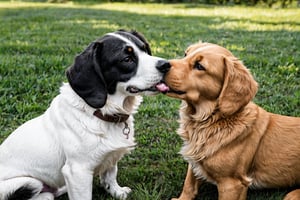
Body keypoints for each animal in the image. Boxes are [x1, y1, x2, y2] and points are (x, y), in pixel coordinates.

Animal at [0, 30, 169, 200]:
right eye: (127, 59)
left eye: (145, 49)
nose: (166, 65)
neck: (100, 113)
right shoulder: (77, 171)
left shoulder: (110, 157)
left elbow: (110, 173)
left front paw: (116, 191)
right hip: (28, 182)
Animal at [156, 42, 300, 200]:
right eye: (185, 54)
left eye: (199, 66)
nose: (162, 64)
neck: (209, 121)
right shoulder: (194, 162)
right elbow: (189, 184)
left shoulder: (232, 184)